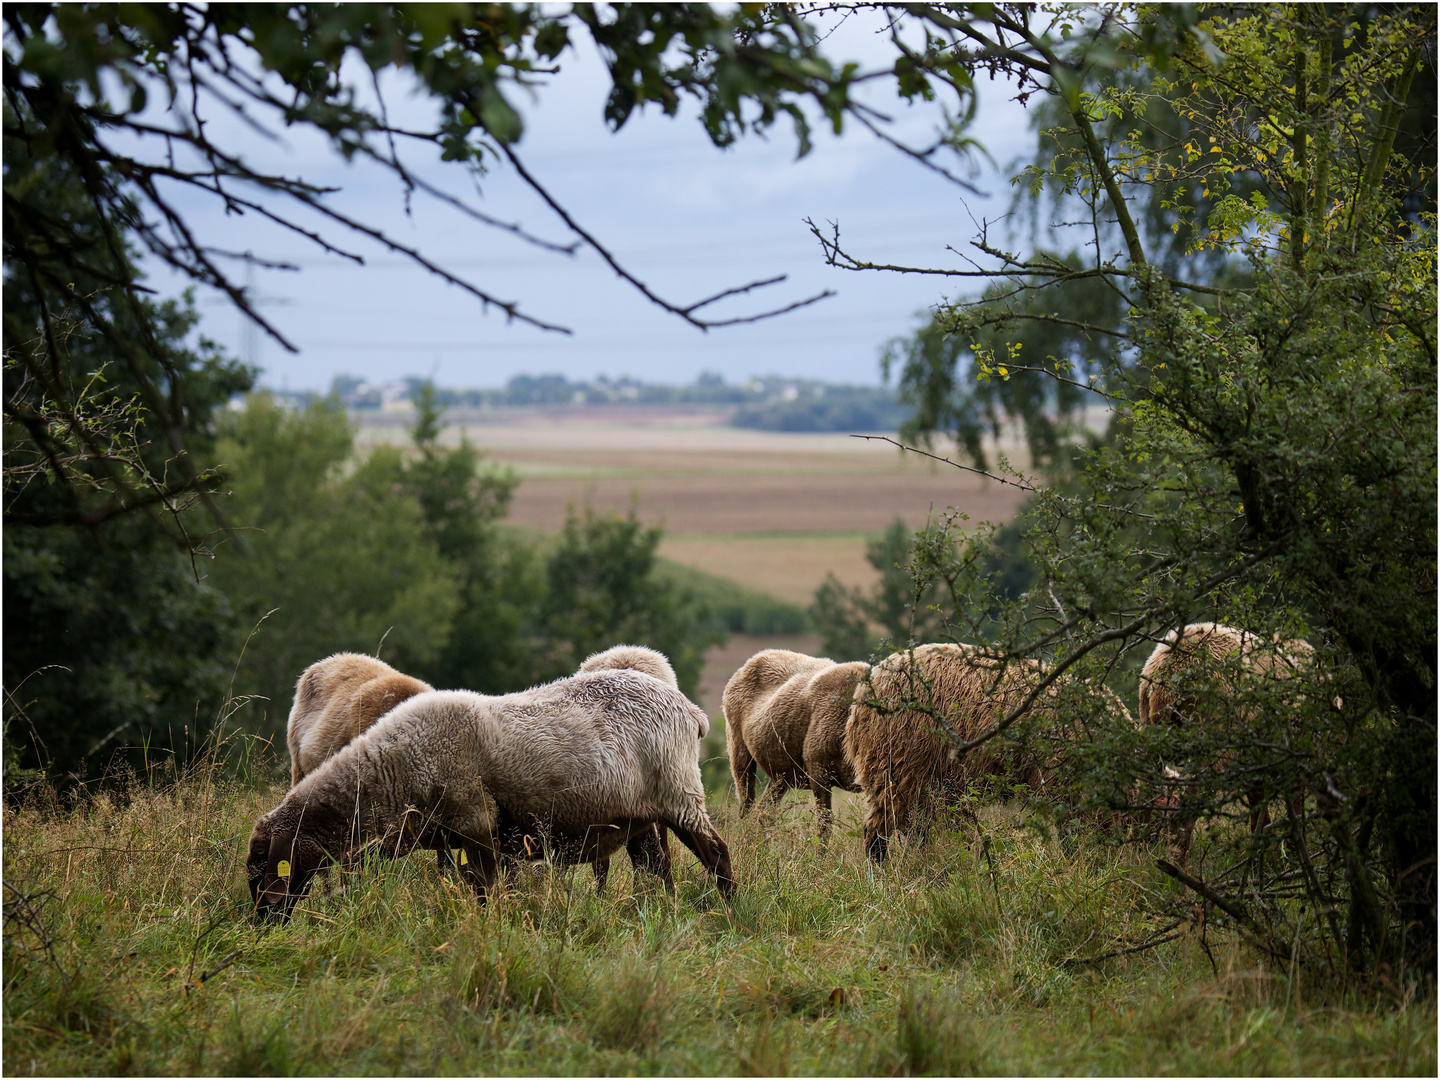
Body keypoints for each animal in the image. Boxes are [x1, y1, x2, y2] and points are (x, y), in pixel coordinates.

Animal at [247, 673, 737, 915]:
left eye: (264, 868)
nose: (265, 923)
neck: (393, 772)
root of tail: (690, 710)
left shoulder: (475, 822)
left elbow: (486, 889)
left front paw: (494, 926)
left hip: (679, 793)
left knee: (717, 852)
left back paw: (732, 909)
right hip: (642, 814)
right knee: (656, 867)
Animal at [720, 648, 864, 840]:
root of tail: (750, 661)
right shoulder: (818, 769)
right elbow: (824, 825)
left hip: (781, 773)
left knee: (764, 813)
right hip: (739, 747)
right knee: (747, 804)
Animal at [840, 648, 1128, 869]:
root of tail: (865, 690)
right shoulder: (1062, 777)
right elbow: (1072, 827)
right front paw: (1081, 860)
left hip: (924, 774)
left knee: (915, 825)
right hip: (900, 761)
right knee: (881, 825)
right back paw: (879, 872)